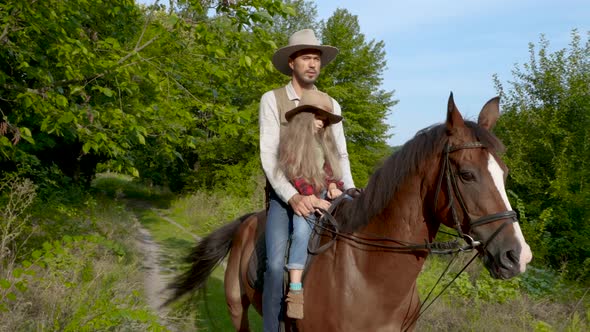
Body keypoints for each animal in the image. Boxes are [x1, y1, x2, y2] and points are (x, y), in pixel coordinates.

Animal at [166, 94, 536, 332]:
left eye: (504, 174)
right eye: (467, 174)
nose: (516, 256)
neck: (370, 277)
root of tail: (246, 222)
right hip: (236, 308)